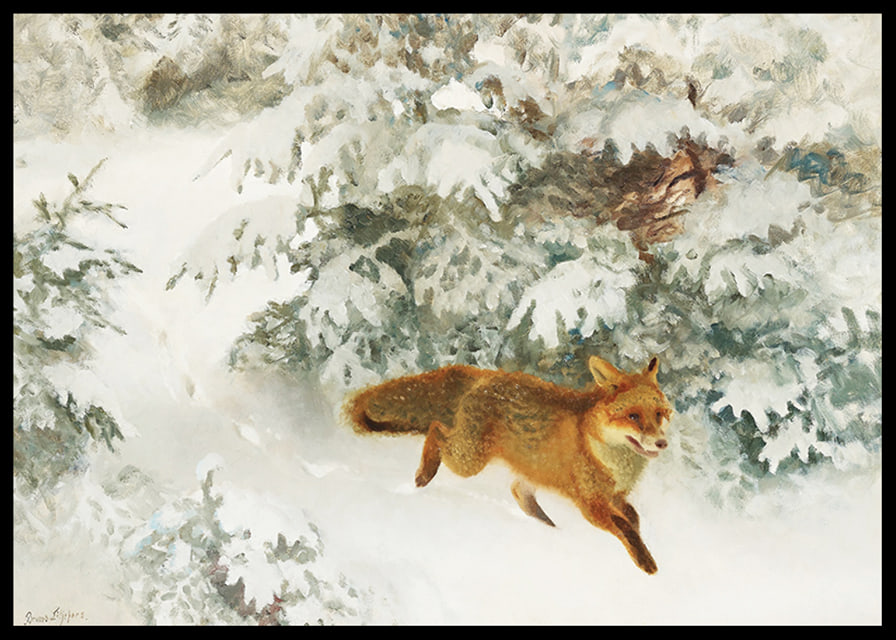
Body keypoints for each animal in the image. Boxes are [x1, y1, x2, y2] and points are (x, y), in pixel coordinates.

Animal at [345, 355, 672, 574]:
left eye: (659, 415)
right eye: (633, 416)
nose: (661, 443)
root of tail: (487, 374)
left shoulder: (615, 496)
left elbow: (634, 518)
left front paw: (641, 546)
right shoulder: (591, 504)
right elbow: (625, 527)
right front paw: (646, 563)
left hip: (525, 468)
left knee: (518, 492)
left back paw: (547, 527)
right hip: (469, 460)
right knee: (436, 429)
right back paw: (425, 474)